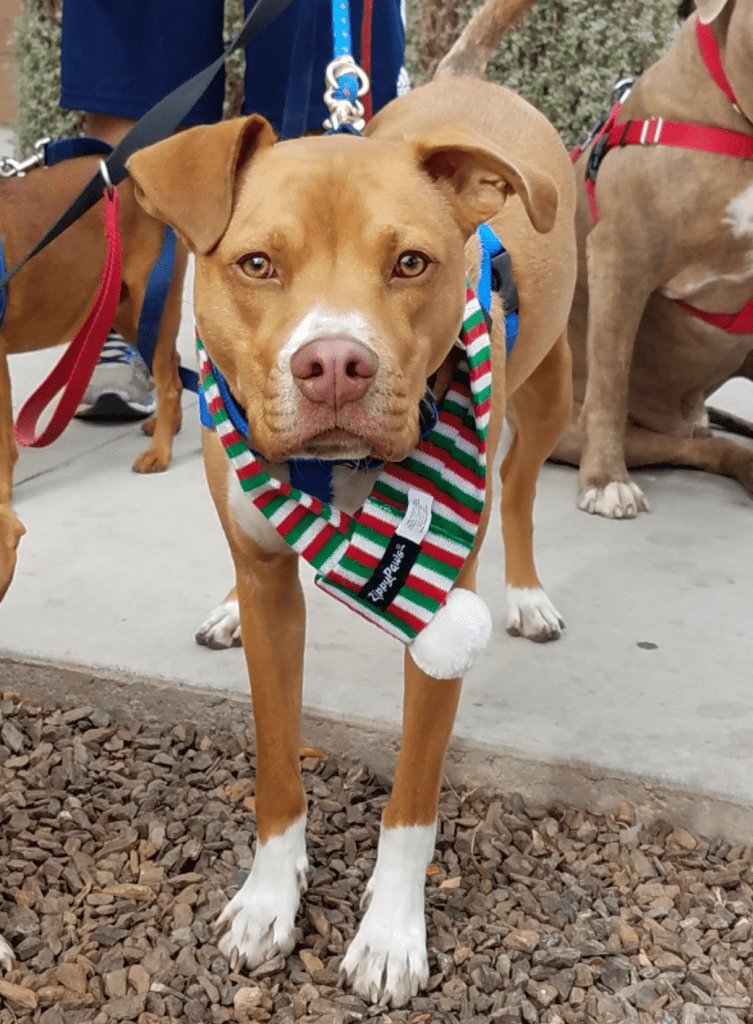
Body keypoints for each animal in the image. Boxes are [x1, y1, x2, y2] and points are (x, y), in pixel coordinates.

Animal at [0, 157, 187, 598]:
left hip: (150, 304)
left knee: (170, 383)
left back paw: (160, 451)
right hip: (129, 312)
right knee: (175, 366)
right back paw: (163, 426)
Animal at [126, 0, 573, 1003]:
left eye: (410, 261)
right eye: (256, 263)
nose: (334, 363)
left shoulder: (438, 598)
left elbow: (412, 801)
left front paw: (390, 936)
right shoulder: (270, 582)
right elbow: (275, 763)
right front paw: (268, 900)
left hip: (553, 388)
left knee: (523, 493)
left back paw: (528, 594)